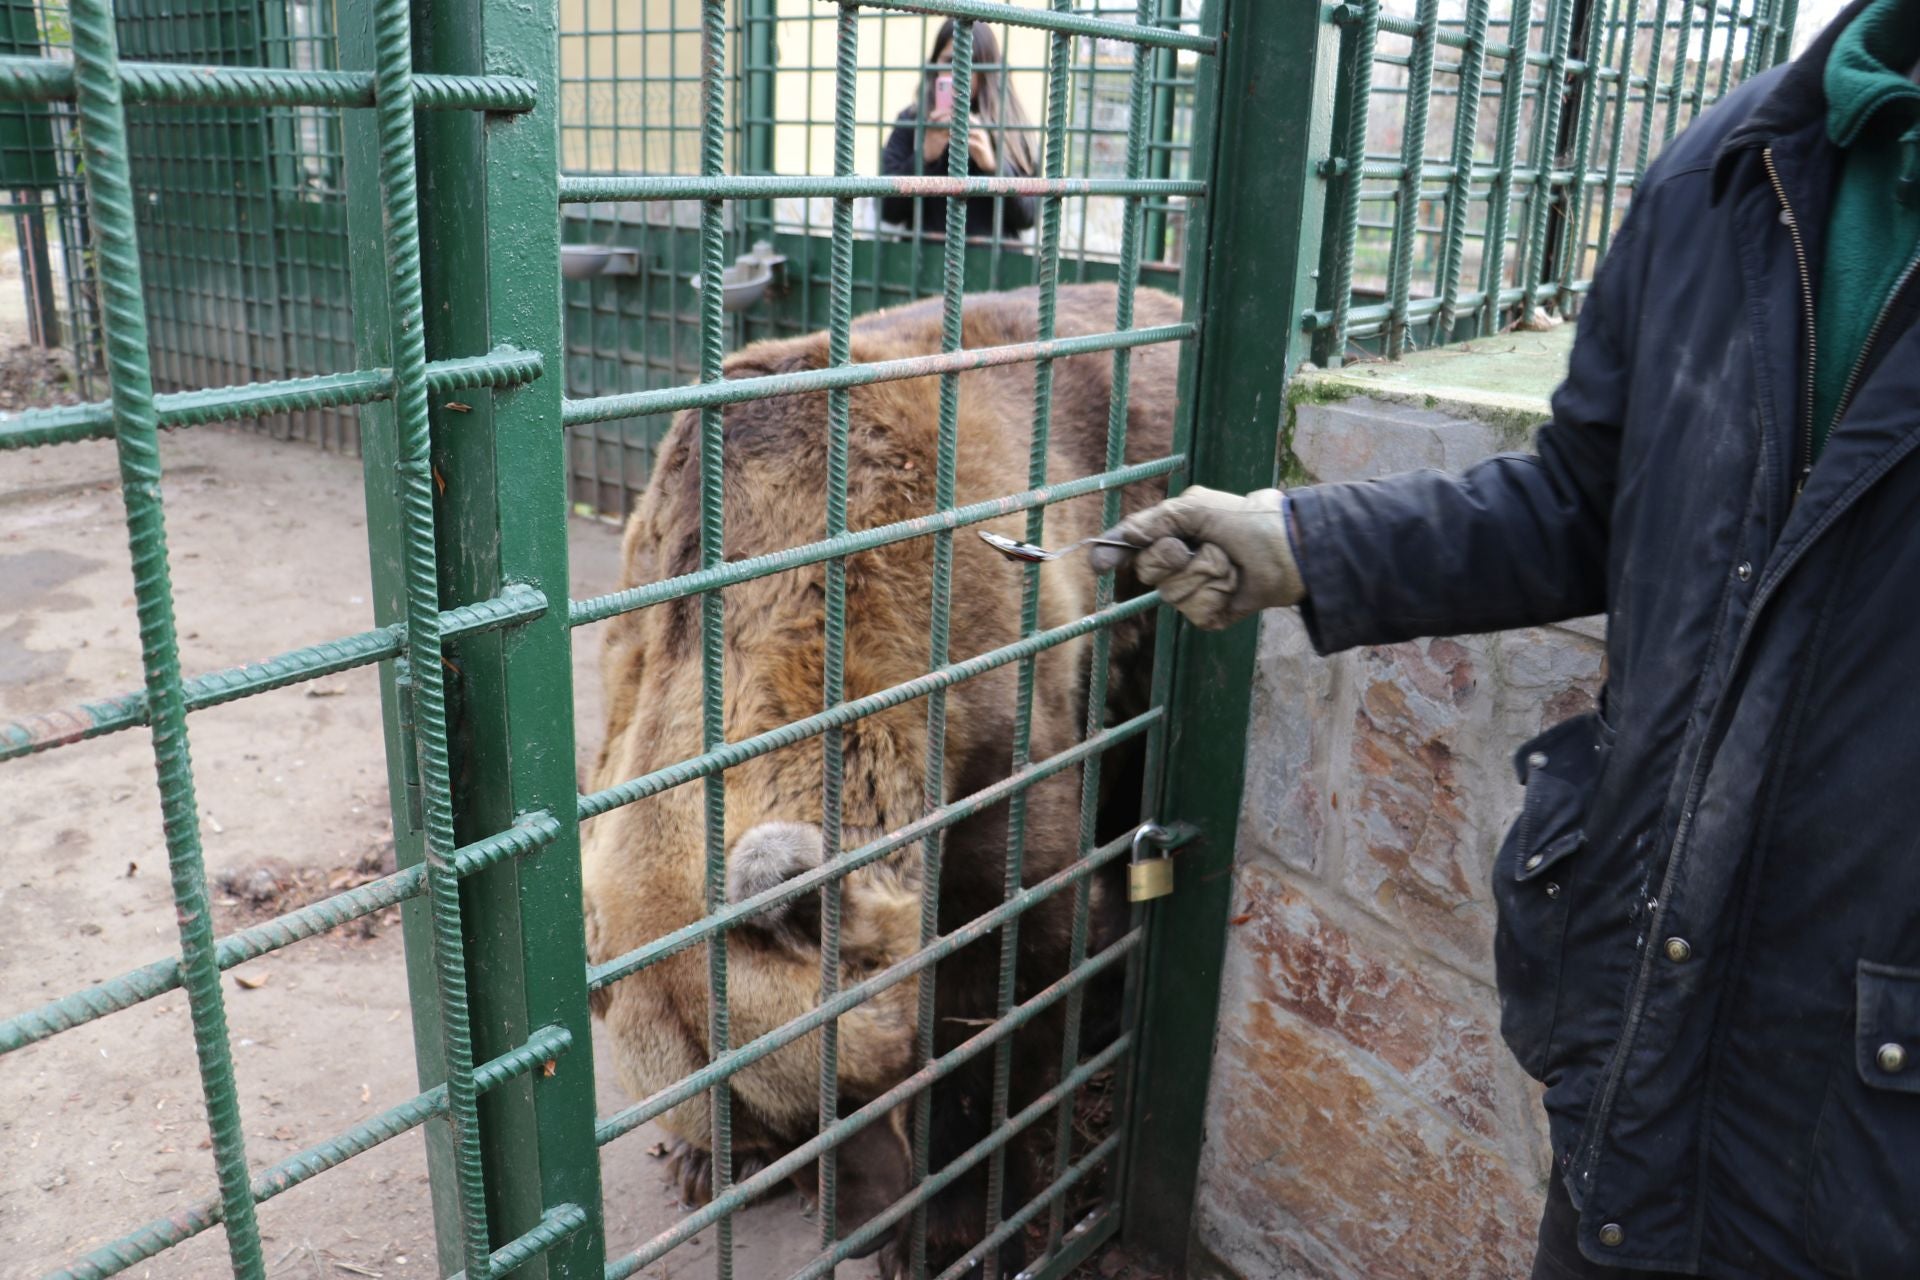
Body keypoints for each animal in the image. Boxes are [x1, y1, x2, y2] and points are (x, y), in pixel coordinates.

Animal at [579, 285, 1182, 1274]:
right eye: (776, 1122)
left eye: (849, 1088)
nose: (855, 1217)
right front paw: (708, 1167)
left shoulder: (993, 716)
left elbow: (1012, 967)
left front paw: (947, 1219)